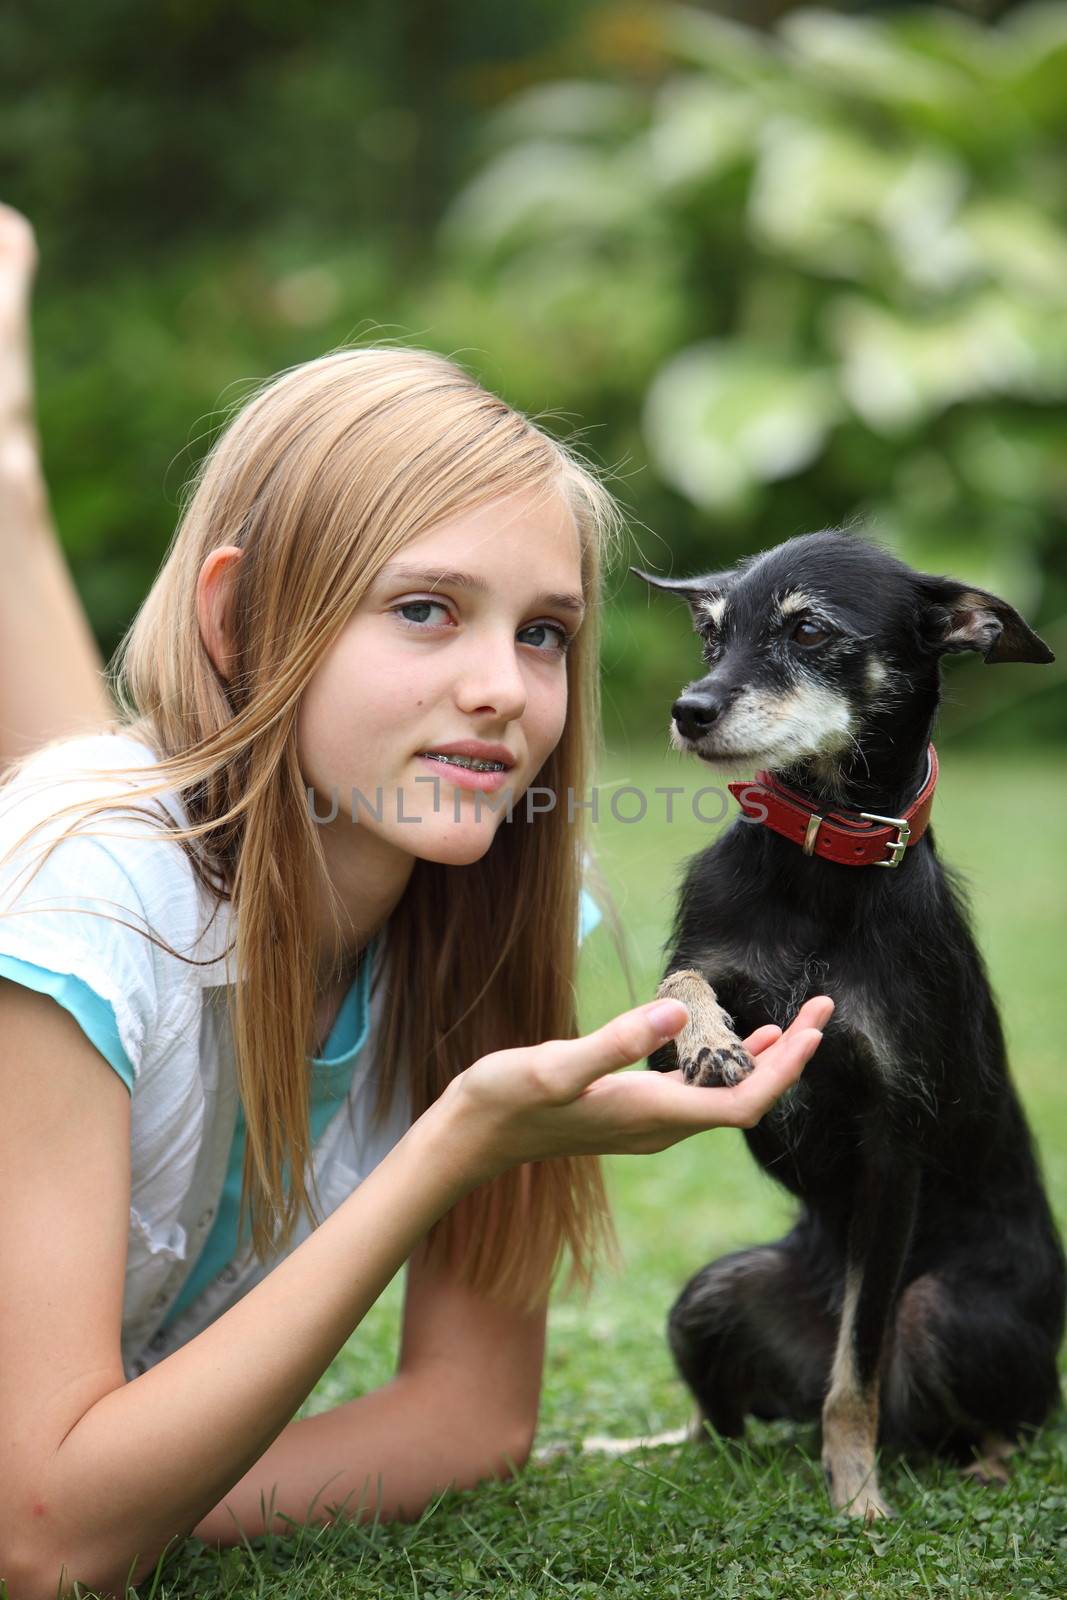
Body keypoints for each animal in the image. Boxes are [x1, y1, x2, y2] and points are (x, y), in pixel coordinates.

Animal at [639, 531, 1062, 1516]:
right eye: (712, 635)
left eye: (807, 629)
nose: (689, 710)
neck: (820, 870)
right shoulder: (677, 1010)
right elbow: (684, 980)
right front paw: (712, 1041)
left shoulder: (891, 1148)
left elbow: (857, 1369)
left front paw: (857, 1494)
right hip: (710, 1295)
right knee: (723, 1421)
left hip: (950, 1315)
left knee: (999, 1420)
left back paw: (971, 1463)